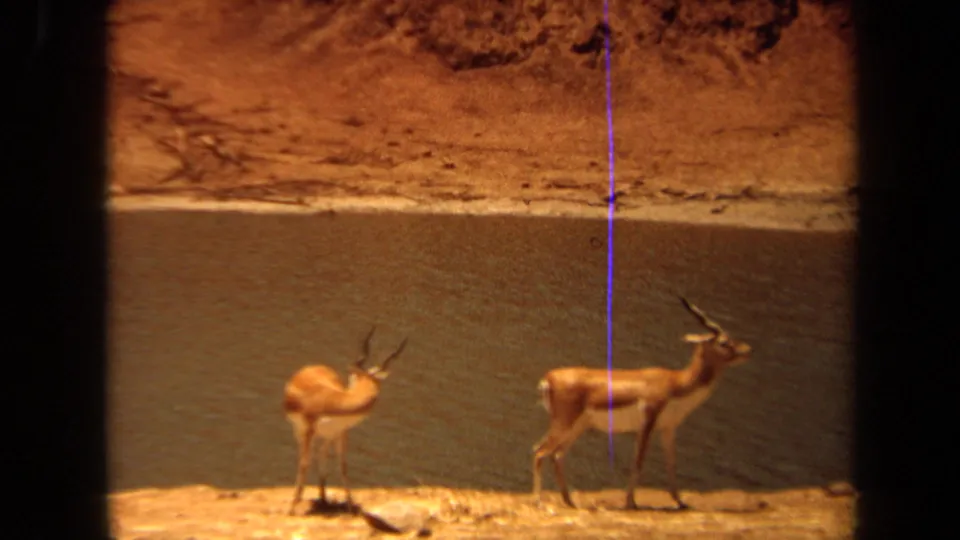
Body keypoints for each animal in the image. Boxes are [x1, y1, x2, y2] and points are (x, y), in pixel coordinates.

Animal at [283, 326, 408, 515]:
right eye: (352, 376)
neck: (333, 402)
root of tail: (310, 367)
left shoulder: (342, 432)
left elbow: (343, 465)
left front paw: (350, 506)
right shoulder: (310, 429)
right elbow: (304, 463)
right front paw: (292, 508)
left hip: (327, 436)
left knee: (322, 455)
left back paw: (324, 500)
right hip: (300, 431)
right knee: (305, 458)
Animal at [532, 296, 752, 510]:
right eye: (724, 342)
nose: (747, 350)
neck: (677, 383)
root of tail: (548, 378)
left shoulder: (668, 427)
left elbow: (671, 463)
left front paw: (681, 502)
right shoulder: (648, 422)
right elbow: (638, 461)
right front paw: (631, 502)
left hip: (578, 426)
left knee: (557, 455)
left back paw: (570, 501)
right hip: (564, 423)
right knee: (539, 450)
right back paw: (540, 502)